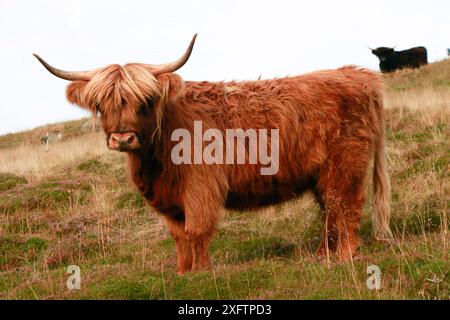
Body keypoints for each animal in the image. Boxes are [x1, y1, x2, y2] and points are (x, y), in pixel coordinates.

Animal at [33, 35, 392, 276]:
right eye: (100, 105)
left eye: (145, 101)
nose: (122, 137)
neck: (157, 158)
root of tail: (358, 74)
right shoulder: (168, 198)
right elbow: (179, 236)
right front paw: (183, 272)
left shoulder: (200, 187)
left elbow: (197, 230)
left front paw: (202, 271)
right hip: (323, 173)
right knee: (330, 210)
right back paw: (322, 255)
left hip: (345, 164)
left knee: (345, 206)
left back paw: (344, 256)